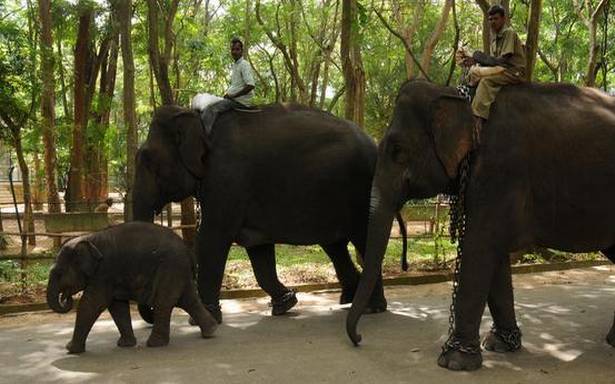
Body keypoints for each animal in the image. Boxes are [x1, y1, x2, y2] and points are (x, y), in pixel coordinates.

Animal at [47, 222, 218, 354]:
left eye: (59, 273)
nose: (66, 298)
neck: (87, 238)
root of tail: (188, 250)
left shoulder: (104, 273)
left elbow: (91, 304)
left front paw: (70, 349)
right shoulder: (110, 277)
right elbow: (117, 307)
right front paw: (125, 345)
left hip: (171, 268)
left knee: (163, 302)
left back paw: (155, 344)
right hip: (178, 271)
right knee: (188, 300)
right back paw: (211, 332)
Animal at [132, 103, 406, 324]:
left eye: (146, 159)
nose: (151, 315)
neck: (196, 118)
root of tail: (374, 144)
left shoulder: (226, 180)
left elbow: (211, 239)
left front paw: (206, 317)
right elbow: (258, 251)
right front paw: (285, 304)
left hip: (361, 193)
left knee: (363, 240)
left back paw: (372, 308)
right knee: (335, 245)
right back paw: (349, 298)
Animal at [346, 79, 615, 370]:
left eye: (398, 151)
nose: (359, 338)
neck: (461, 98)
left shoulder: (500, 170)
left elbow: (479, 246)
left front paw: (455, 361)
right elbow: (493, 254)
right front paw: (500, 345)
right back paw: (613, 340)